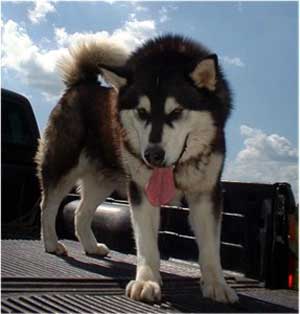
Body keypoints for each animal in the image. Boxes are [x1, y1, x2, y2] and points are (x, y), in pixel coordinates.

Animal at [35, 34, 239, 304]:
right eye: (142, 112)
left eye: (176, 111)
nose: (152, 155)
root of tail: (82, 83)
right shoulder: (141, 190)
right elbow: (146, 242)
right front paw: (147, 282)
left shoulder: (206, 192)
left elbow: (210, 247)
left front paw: (217, 284)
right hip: (63, 166)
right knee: (48, 205)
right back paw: (51, 242)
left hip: (102, 181)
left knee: (80, 212)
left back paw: (91, 246)